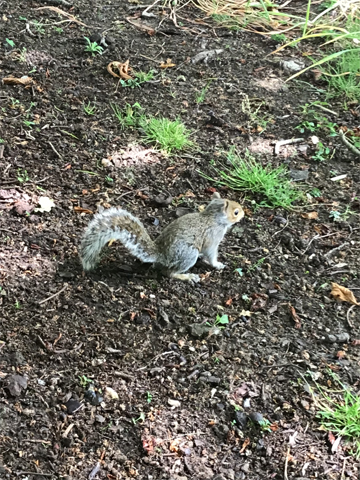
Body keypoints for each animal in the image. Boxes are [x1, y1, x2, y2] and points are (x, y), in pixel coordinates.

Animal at [80, 192, 245, 282]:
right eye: (236, 212)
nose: (243, 213)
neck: (213, 217)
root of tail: (161, 254)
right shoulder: (213, 238)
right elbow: (211, 254)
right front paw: (217, 264)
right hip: (188, 254)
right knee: (169, 273)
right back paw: (187, 277)